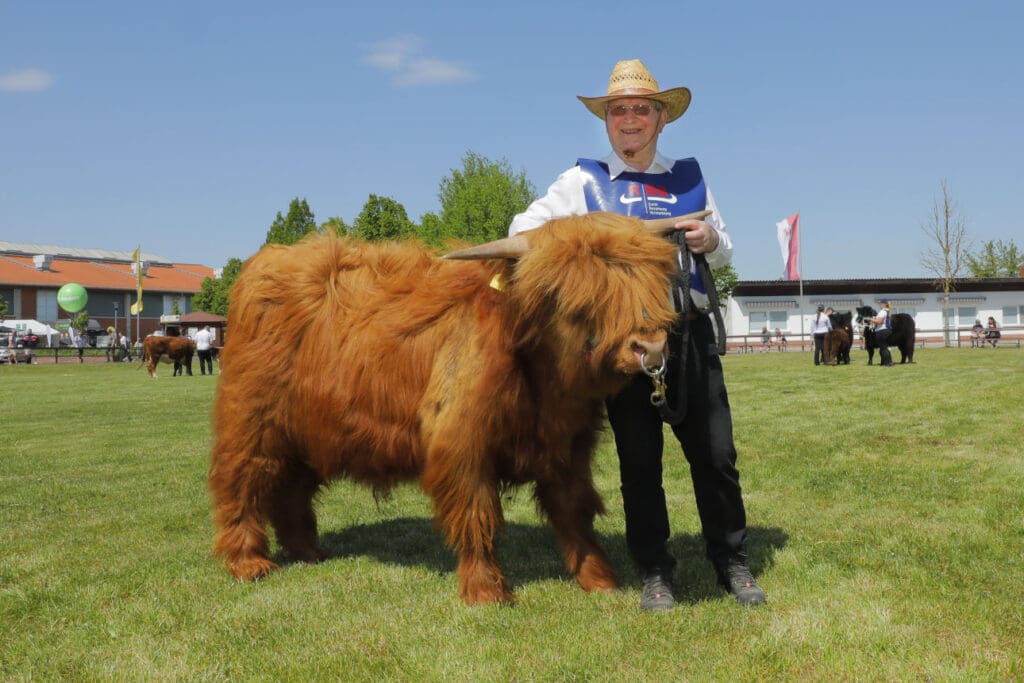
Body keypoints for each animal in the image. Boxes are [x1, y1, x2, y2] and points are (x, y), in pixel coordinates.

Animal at [206, 211, 688, 602]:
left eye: (651, 281)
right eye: (571, 299)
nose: (649, 346)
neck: (545, 384)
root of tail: (266, 264)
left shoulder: (568, 448)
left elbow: (575, 511)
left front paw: (598, 578)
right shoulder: (461, 443)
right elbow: (476, 514)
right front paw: (486, 591)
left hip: (310, 430)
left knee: (291, 489)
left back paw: (308, 552)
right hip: (252, 421)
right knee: (242, 482)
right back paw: (248, 563)